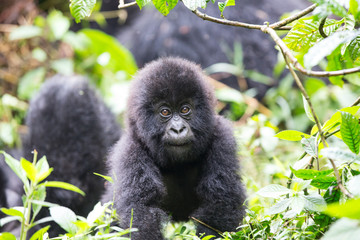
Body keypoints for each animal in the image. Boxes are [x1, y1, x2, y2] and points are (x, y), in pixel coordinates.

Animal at [102, 57, 246, 239]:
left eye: (185, 109)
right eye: (165, 112)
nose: (178, 129)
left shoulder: (221, 138)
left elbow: (221, 201)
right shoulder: (131, 150)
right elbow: (142, 210)